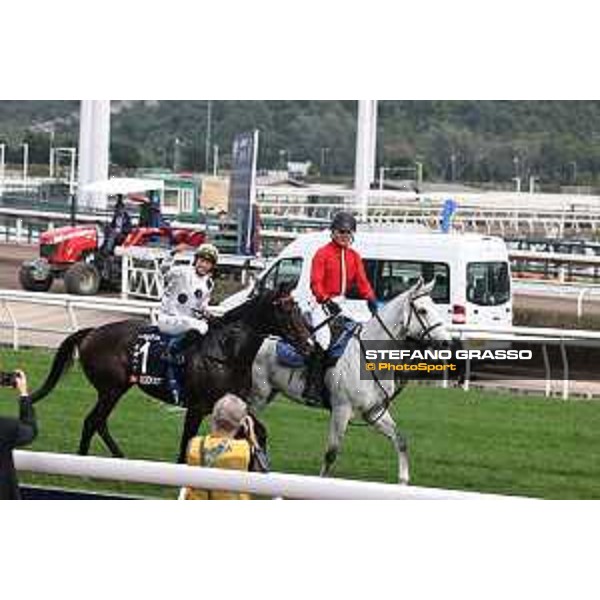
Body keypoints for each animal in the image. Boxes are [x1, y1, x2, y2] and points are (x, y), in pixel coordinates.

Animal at [29, 288, 312, 462]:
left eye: (299, 308)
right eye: (287, 310)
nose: (309, 344)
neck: (227, 352)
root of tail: (92, 332)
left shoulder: (233, 402)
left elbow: (259, 433)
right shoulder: (197, 407)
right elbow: (187, 441)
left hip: (116, 389)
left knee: (98, 422)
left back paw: (119, 458)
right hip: (111, 389)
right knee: (92, 421)